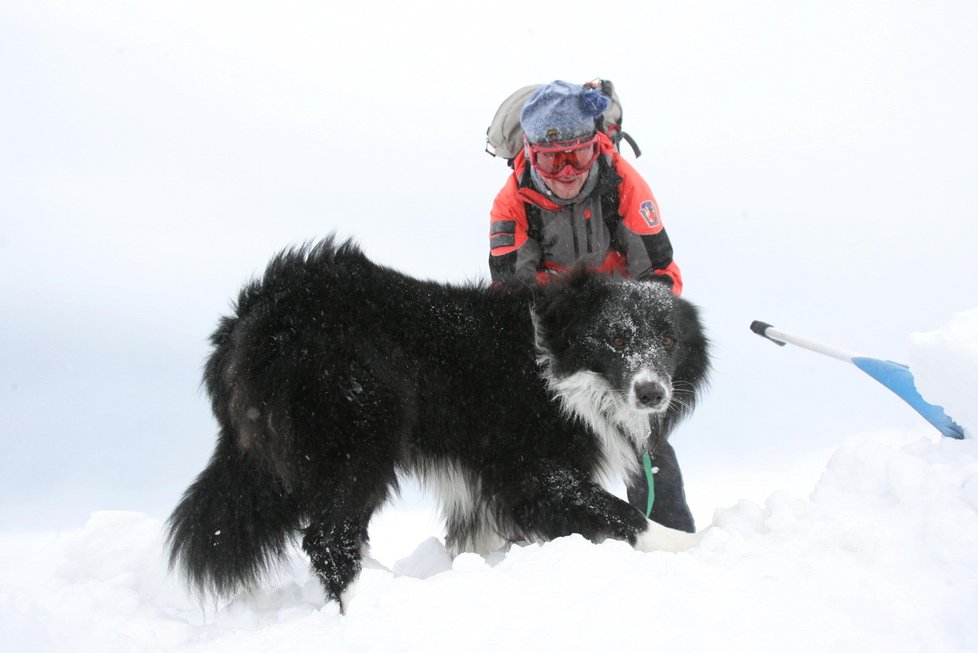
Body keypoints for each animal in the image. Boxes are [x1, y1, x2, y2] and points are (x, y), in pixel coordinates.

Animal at [168, 237, 708, 608]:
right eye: (616, 337)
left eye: (667, 339)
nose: (652, 393)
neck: (559, 360)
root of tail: (253, 315)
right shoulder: (533, 469)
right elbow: (625, 515)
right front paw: (695, 546)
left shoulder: (485, 480)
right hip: (360, 427)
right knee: (329, 539)